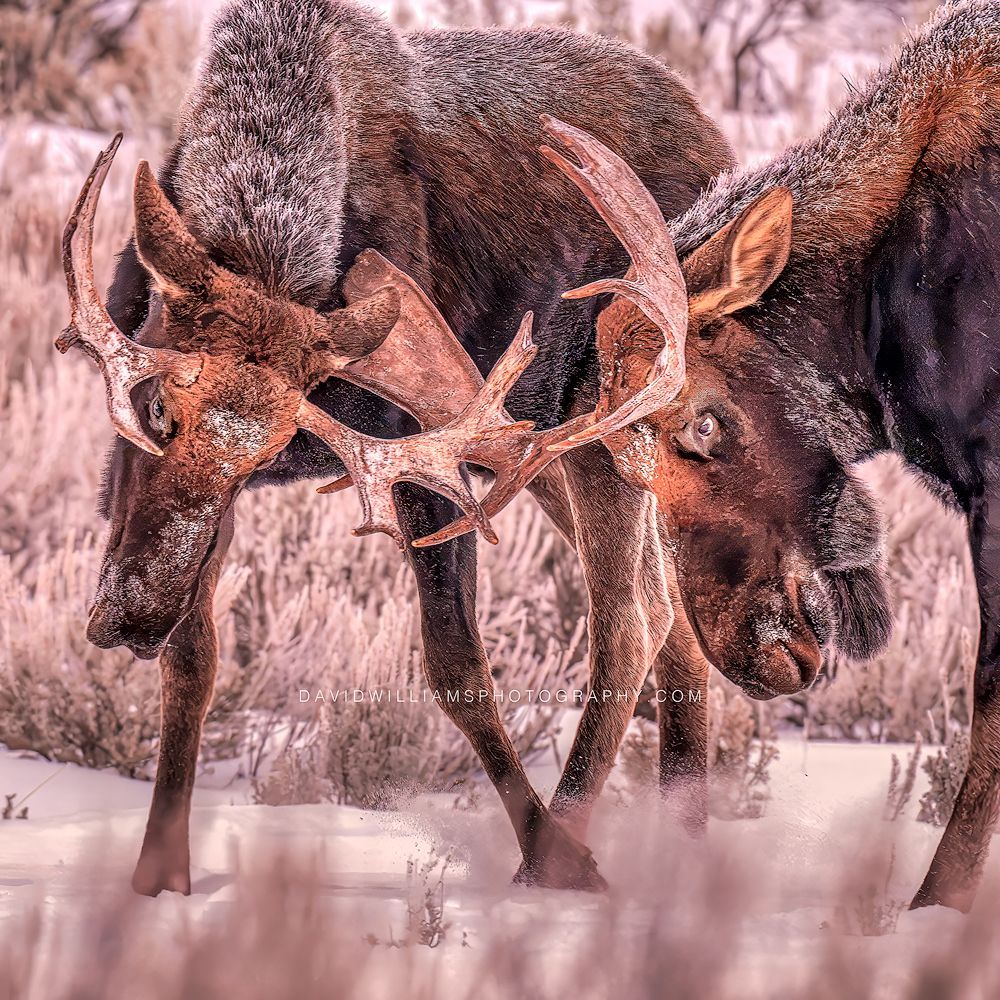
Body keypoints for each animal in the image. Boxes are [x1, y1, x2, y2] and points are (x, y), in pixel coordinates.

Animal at [54, 0, 736, 896]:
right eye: (155, 406)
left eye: (269, 445)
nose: (128, 620)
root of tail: (718, 142)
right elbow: (194, 660)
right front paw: (160, 879)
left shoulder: (416, 458)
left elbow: (456, 668)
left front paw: (553, 856)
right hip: (542, 454)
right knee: (675, 618)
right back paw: (683, 855)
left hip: (608, 420)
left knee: (630, 619)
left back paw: (574, 851)